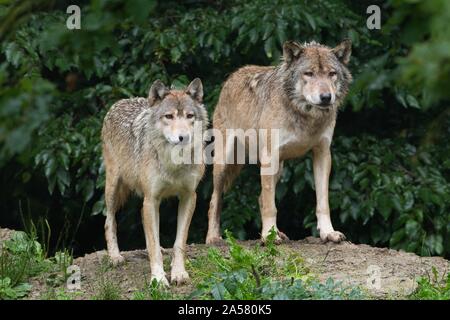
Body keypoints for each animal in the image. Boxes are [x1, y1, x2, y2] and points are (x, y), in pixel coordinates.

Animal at [101, 79, 207, 286]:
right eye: (169, 116)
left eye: (190, 116)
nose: (184, 137)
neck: (174, 162)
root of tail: (121, 101)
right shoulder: (151, 199)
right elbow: (152, 244)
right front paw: (158, 278)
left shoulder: (189, 197)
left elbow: (179, 242)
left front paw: (178, 273)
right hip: (113, 188)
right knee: (109, 222)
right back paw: (115, 257)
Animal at [206, 40, 354, 245]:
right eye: (309, 73)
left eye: (332, 73)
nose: (326, 97)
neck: (304, 114)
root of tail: (233, 75)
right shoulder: (269, 156)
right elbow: (271, 206)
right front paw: (269, 237)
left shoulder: (323, 154)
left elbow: (323, 202)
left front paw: (328, 233)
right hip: (224, 164)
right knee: (215, 200)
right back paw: (213, 237)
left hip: (278, 169)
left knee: (260, 198)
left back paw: (277, 232)